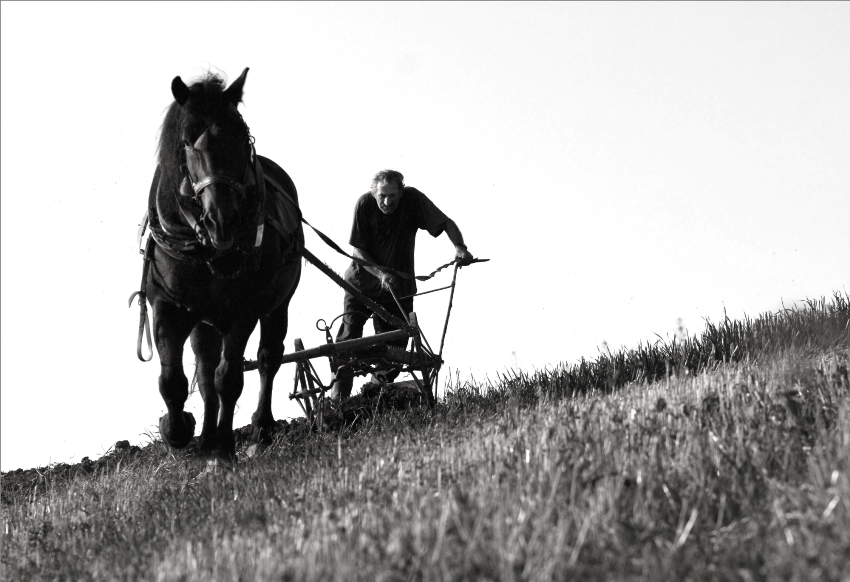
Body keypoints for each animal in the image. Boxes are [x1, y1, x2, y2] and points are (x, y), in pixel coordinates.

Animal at [137, 68, 300, 464]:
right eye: (187, 141)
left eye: (242, 136)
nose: (222, 221)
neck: (205, 250)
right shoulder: (168, 307)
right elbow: (174, 380)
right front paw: (178, 430)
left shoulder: (243, 310)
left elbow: (231, 378)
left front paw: (225, 448)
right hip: (205, 321)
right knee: (206, 370)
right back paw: (207, 438)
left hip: (277, 305)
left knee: (267, 358)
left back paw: (261, 428)